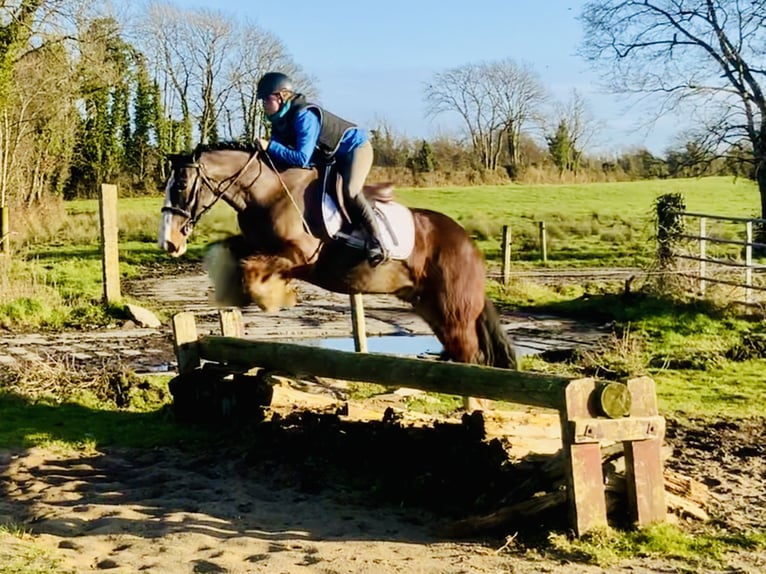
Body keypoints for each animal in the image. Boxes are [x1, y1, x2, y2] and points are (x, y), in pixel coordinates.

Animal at [157, 142, 520, 372]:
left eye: (181, 186)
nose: (169, 243)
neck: (267, 192)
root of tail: (469, 245)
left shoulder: (300, 255)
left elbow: (252, 268)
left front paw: (273, 298)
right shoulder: (255, 244)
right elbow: (230, 252)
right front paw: (232, 292)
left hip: (454, 311)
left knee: (470, 355)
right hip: (431, 308)